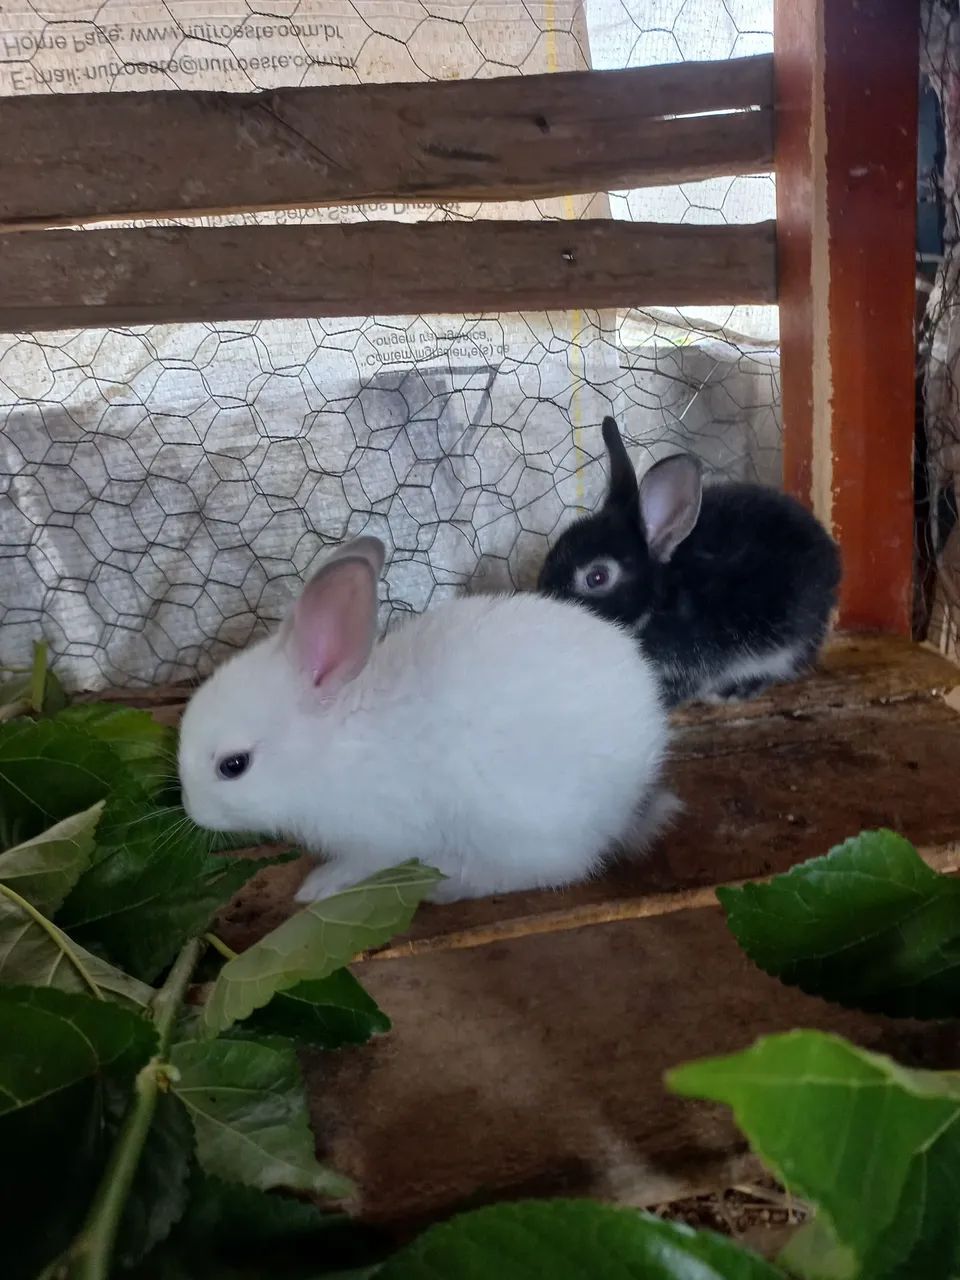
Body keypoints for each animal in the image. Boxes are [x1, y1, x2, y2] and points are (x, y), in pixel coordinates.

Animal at [178, 534, 675, 904]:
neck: (331, 747)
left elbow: (359, 865)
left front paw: (318, 887)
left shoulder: (381, 837)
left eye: (233, 766)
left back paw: (448, 886)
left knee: (555, 869)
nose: (192, 811)